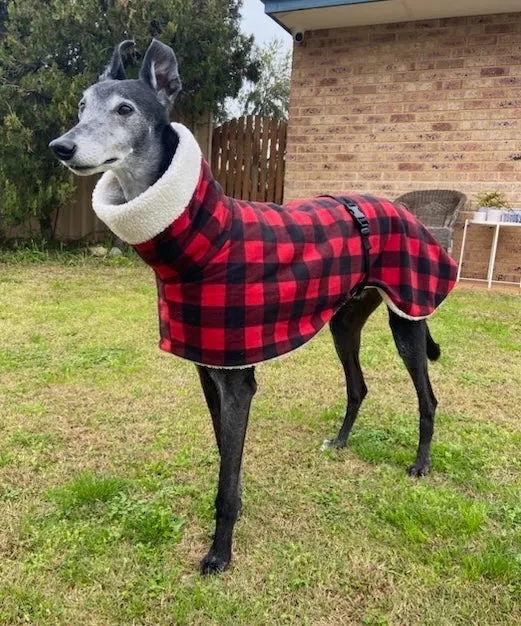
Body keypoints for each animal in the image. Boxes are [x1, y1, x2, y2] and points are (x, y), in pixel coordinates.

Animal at [48, 41, 456, 572]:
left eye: (125, 109)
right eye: (82, 106)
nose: (61, 147)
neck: (204, 239)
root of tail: (401, 209)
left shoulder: (238, 381)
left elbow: (226, 476)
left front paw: (219, 552)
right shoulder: (208, 369)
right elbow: (227, 456)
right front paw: (233, 515)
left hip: (407, 317)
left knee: (427, 398)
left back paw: (420, 464)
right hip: (344, 324)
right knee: (358, 386)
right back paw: (340, 441)